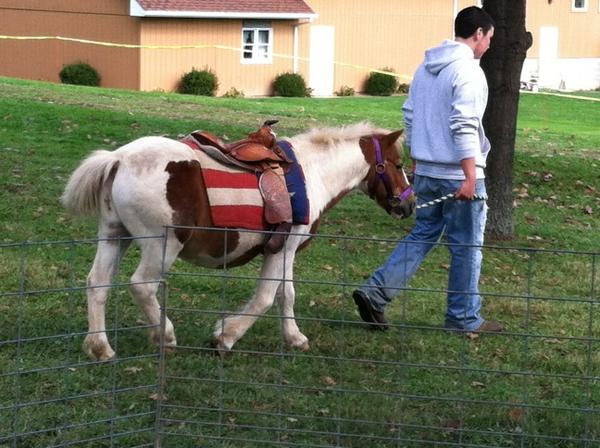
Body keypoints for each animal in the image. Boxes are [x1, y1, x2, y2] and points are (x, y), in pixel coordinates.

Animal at [62, 121, 418, 360]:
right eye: (399, 164)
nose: (410, 204)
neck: (312, 174)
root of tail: (119, 158)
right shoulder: (282, 250)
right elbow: (265, 297)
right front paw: (225, 337)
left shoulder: (287, 251)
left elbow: (285, 295)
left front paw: (294, 338)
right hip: (161, 245)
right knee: (142, 286)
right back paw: (165, 335)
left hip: (114, 235)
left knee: (97, 283)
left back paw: (100, 347)